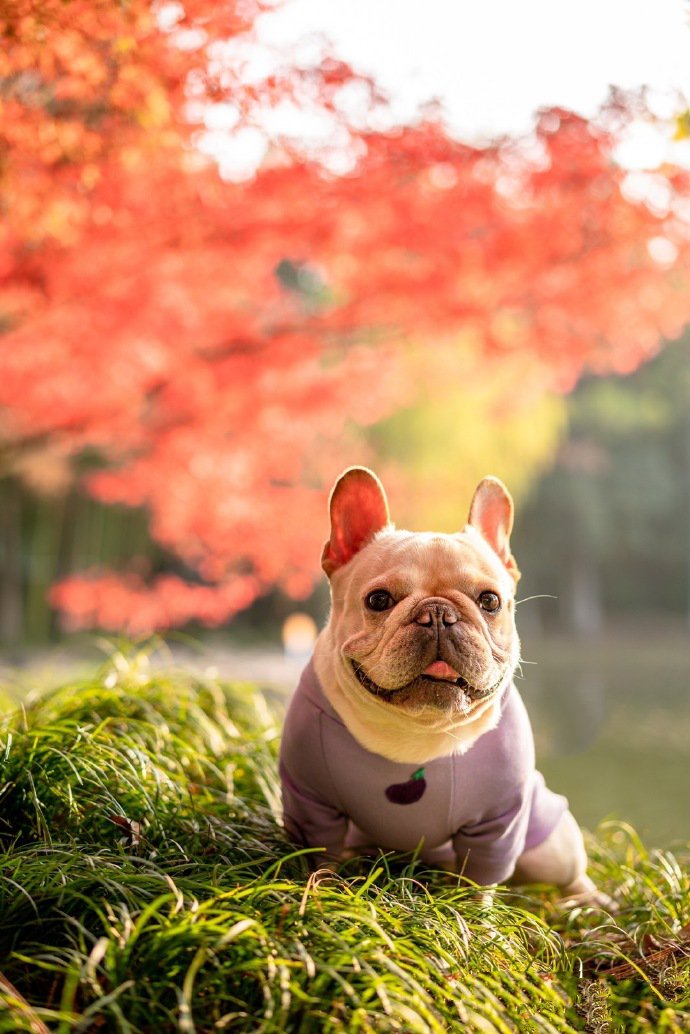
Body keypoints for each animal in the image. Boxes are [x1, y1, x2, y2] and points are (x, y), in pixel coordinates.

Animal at [281, 465, 604, 901]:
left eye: (490, 601)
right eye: (378, 600)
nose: (437, 614)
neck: (419, 729)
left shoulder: (497, 823)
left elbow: (480, 881)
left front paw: (477, 914)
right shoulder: (312, 805)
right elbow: (322, 855)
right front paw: (321, 892)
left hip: (553, 848)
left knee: (571, 873)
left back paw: (592, 902)